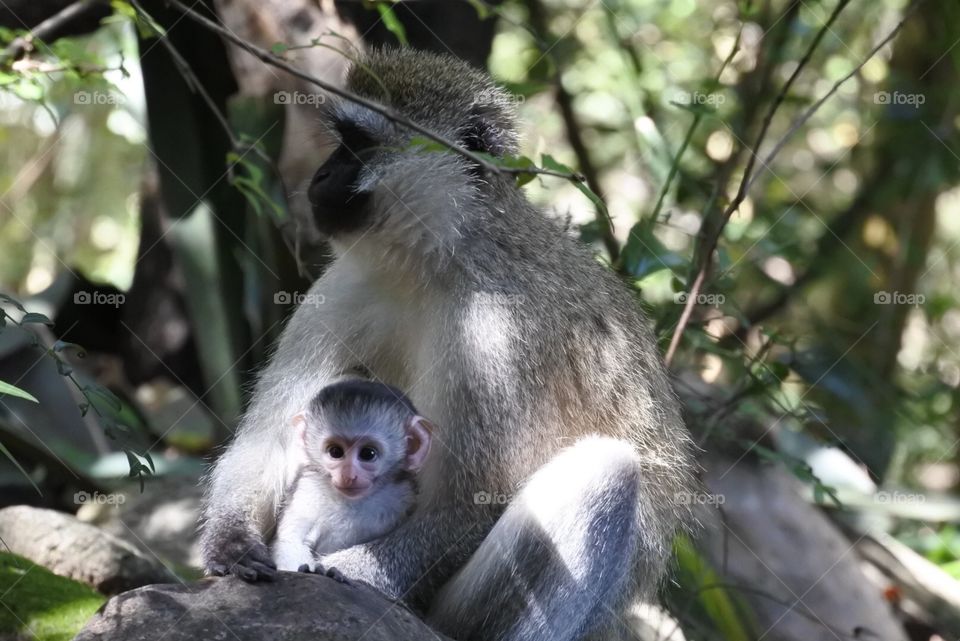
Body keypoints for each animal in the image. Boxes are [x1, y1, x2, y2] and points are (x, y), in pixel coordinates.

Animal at [272, 379, 432, 577]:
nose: (348, 475)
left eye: (368, 454)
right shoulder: (306, 487)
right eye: (335, 452)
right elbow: (290, 541)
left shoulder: (403, 495)